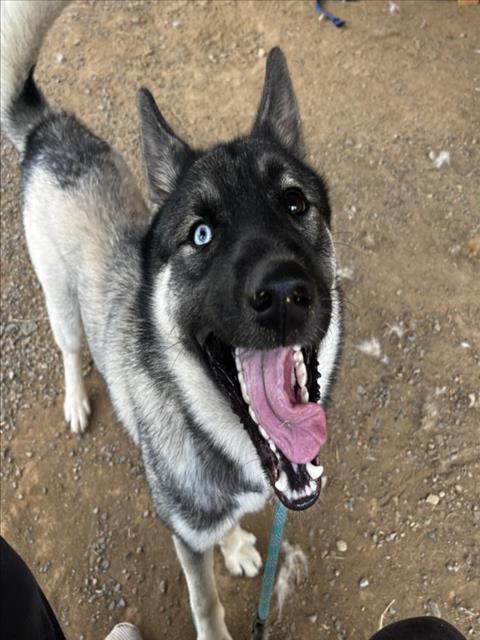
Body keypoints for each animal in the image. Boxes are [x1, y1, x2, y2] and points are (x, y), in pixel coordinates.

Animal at [1, 2, 344, 636]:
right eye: (201, 234)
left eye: (295, 203)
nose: (285, 294)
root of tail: (50, 128)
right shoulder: (184, 532)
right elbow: (204, 600)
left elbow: (225, 527)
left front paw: (236, 546)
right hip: (58, 297)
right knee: (69, 348)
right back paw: (76, 401)